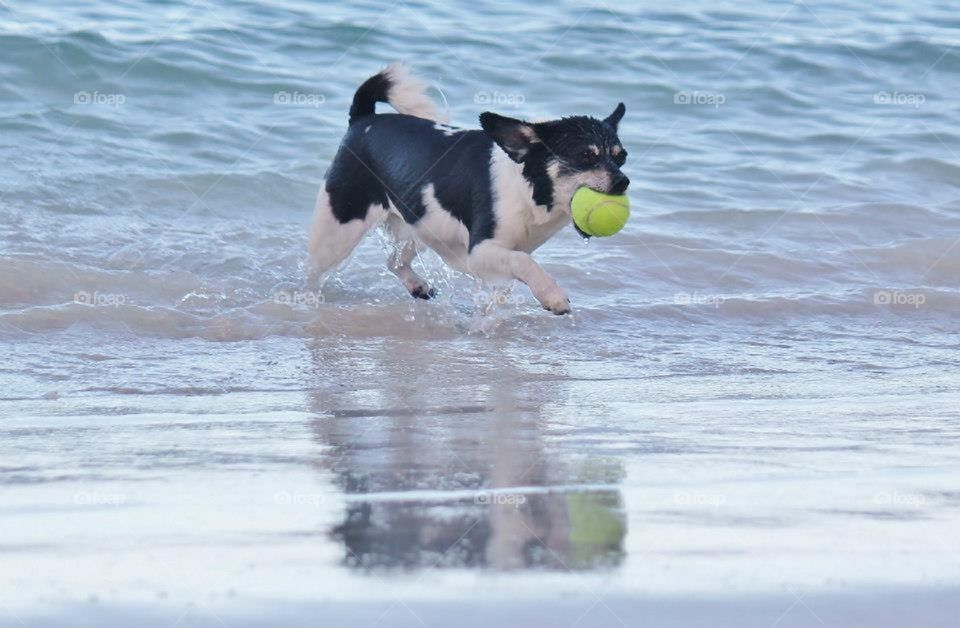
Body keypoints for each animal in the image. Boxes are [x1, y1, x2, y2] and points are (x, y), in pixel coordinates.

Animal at [304, 63, 628, 314]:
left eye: (621, 157)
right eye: (585, 156)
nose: (623, 182)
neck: (528, 188)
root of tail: (363, 118)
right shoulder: (481, 250)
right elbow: (524, 261)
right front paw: (553, 296)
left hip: (422, 224)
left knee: (394, 261)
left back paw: (417, 285)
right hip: (338, 228)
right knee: (313, 273)